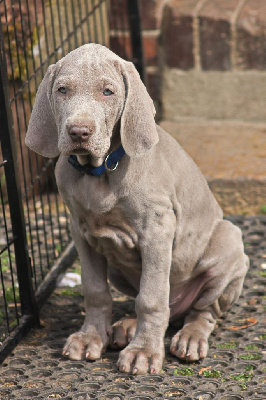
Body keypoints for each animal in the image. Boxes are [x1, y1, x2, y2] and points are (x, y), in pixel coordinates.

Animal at [25, 43, 249, 376]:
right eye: (62, 90)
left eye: (108, 91)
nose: (79, 132)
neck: (100, 172)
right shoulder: (80, 232)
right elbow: (95, 291)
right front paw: (91, 337)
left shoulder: (157, 230)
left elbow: (151, 298)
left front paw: (143, 351)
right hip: (118, 270)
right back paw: (127, 326)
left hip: (228, 246)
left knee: (202, 311)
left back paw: (190, 337)